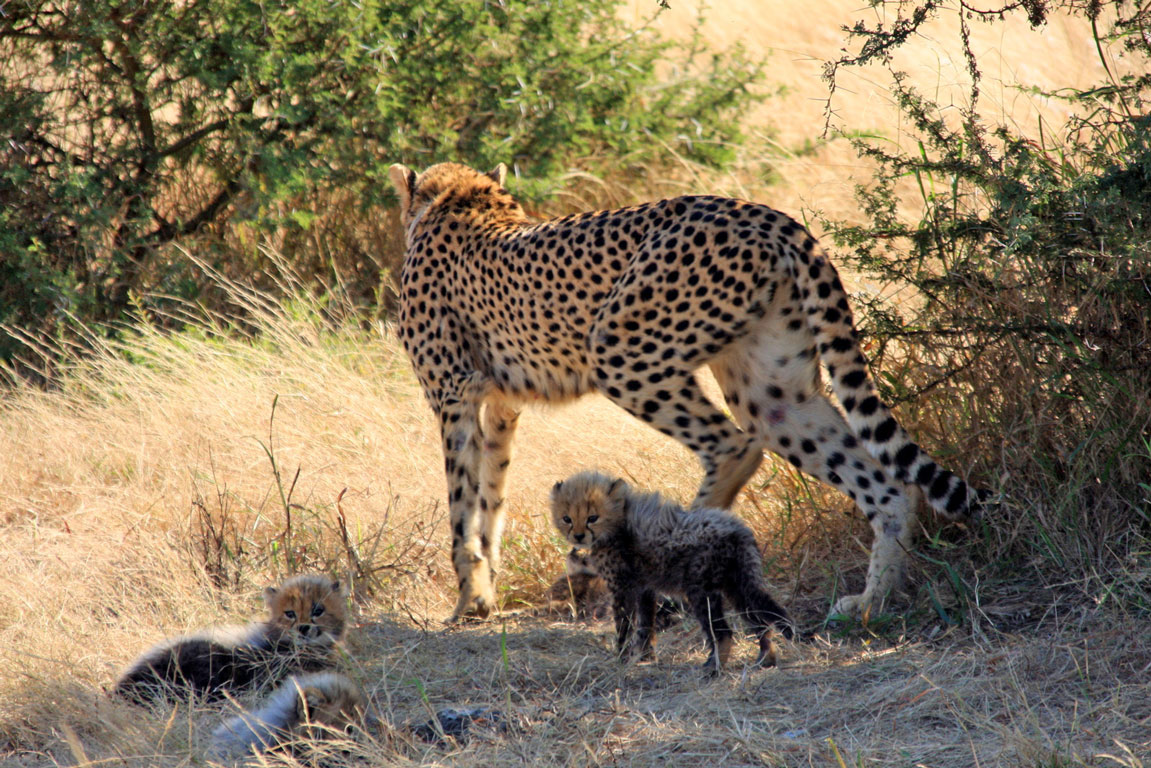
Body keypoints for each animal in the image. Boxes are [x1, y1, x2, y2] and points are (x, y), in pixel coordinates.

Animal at [388, 160, 987, 623]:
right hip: (772, 392)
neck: (458, 200)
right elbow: (490, 497)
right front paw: (484, 592)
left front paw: (467, 601)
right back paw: (872, 601)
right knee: (885, 483)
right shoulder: (500, 406)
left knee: (735, 447)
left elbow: (461, 507)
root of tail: (766, 215)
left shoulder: (453, 394)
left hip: (619, 350)